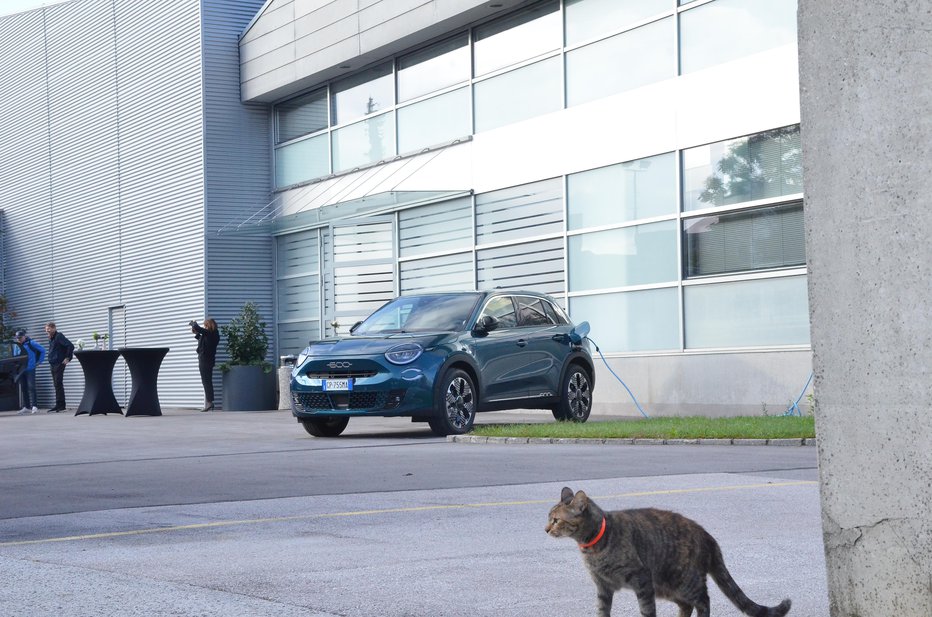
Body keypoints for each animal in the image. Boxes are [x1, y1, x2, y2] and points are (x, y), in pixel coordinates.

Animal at [548, 486, 792, 616]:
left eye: (556, 520)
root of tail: (708, 536)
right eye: (549, 518)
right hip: (667, 586)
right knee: (687, 605)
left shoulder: (642, 579)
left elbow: (647, 611)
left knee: (703, 600)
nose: (545, 528)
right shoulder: (603, 587)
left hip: (684, 580)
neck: (594, 545)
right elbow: (602, 610)